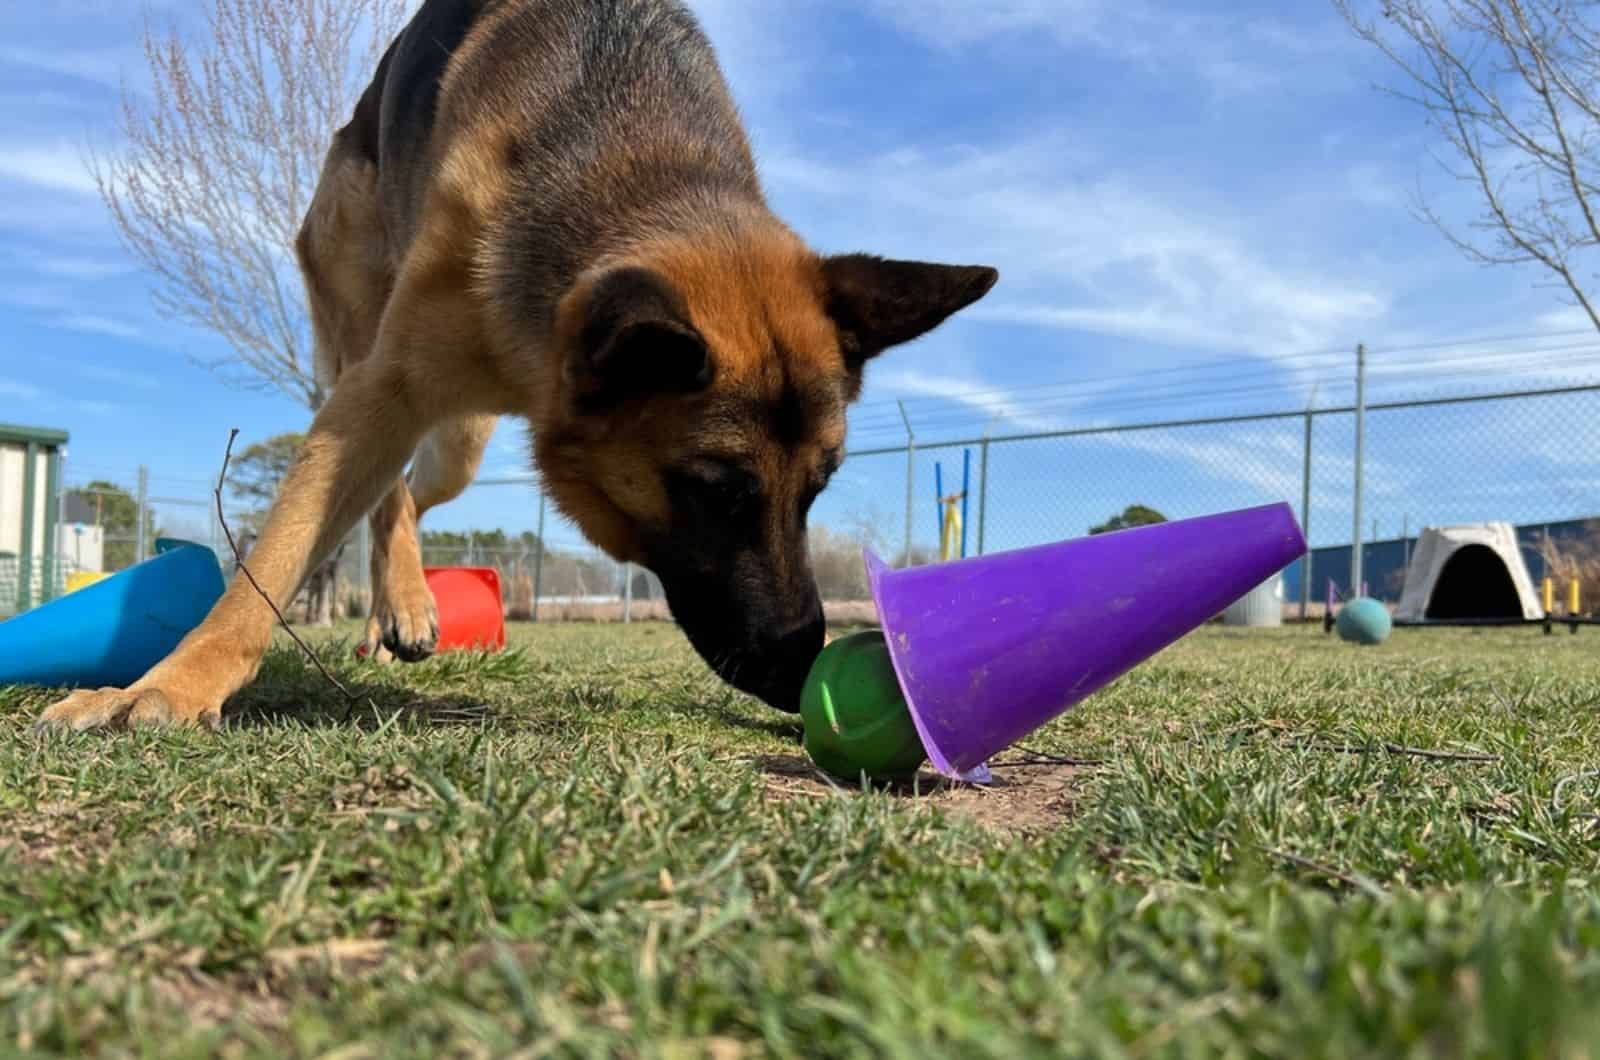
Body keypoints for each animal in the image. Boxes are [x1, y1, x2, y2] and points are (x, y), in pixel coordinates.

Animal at [37, 0, 992, 730]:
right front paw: (168, 684)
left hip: (461, 439)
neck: (640, 162)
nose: (799, 671)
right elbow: (270, 564)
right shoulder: (383, 390)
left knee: (406, 492)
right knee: (381, 486)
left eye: (818, 490)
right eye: (714, 489)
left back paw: (403, 604)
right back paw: (402, 601)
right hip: (379, 362)